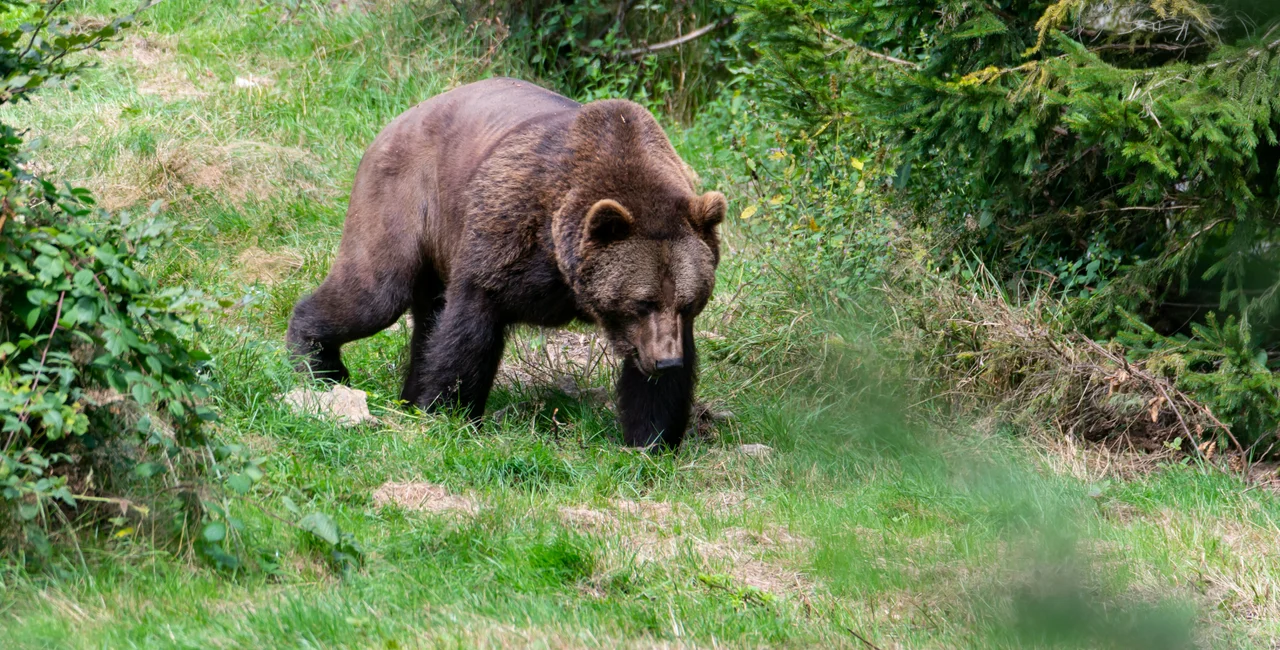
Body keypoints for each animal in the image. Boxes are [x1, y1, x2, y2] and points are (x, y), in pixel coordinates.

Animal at [285, 77, 726, 448]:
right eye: (641, 301)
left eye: (689, 303)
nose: (666, 361)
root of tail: (397, 120)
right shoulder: (507, 237)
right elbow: (467, 333)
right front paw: (448, 412)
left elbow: (654, 387)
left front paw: (651, 438)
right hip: (405, 202)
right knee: (375, 293)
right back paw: (317, 362)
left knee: (424, 319)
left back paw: (403, 394)